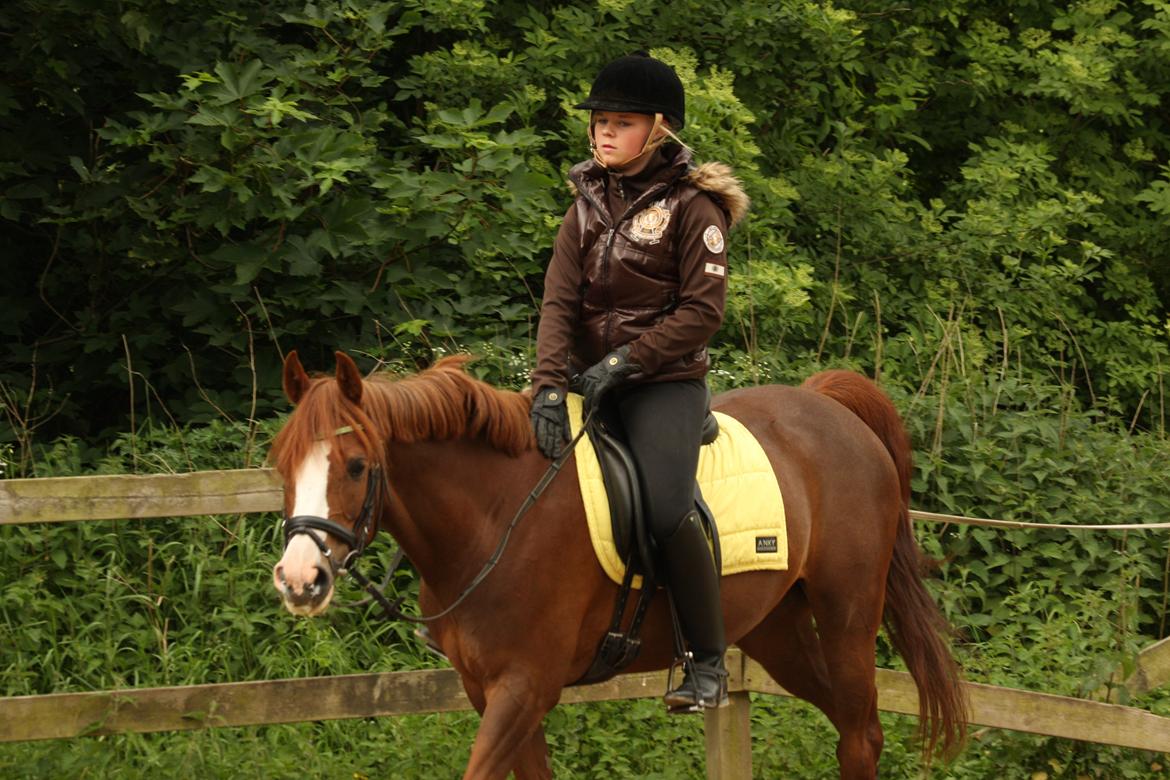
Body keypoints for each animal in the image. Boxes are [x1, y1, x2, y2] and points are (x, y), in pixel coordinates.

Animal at [270, 350, 967, 779]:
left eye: (356, 466)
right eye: (283, 464)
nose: (301, 580)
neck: (496, 516)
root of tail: (829, 408)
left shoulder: (524, 688)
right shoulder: (487, 690)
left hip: (848, 614)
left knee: (862, 734)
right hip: (778, 631)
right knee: (847, 723)